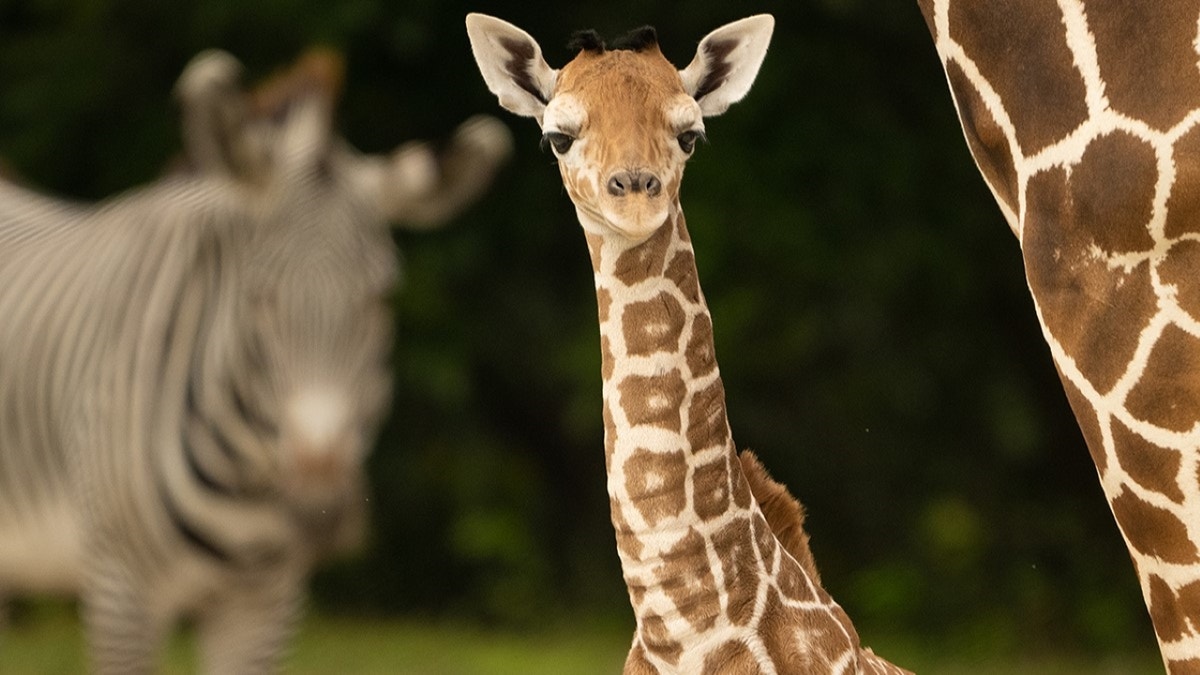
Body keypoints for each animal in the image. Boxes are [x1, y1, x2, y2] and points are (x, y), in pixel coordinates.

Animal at [0, 49, 511, 667]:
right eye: (258, 297)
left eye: (382, 299)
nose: (320, 508)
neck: (243, 478)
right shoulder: (120, 590)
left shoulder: (265, 602)